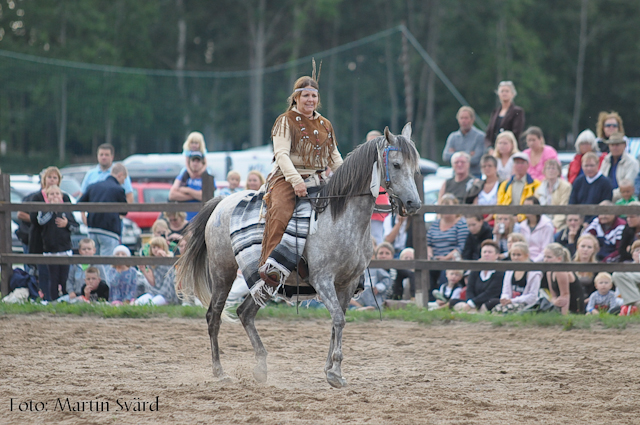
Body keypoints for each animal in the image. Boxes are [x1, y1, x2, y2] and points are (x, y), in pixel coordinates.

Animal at [178, 123, 422, 388]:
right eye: (396, 164)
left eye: (415, 166)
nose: (414, 203)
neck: (338, 218)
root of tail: (222, 202)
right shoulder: (323, 280)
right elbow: (339, 319)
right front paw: (335, 373)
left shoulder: (346, 284)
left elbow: (337, 322)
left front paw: (331, 369)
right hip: (223, 272)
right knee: (214, 316)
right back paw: (219, 371)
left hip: (263, 281)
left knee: (245, 313)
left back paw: (261, 368)